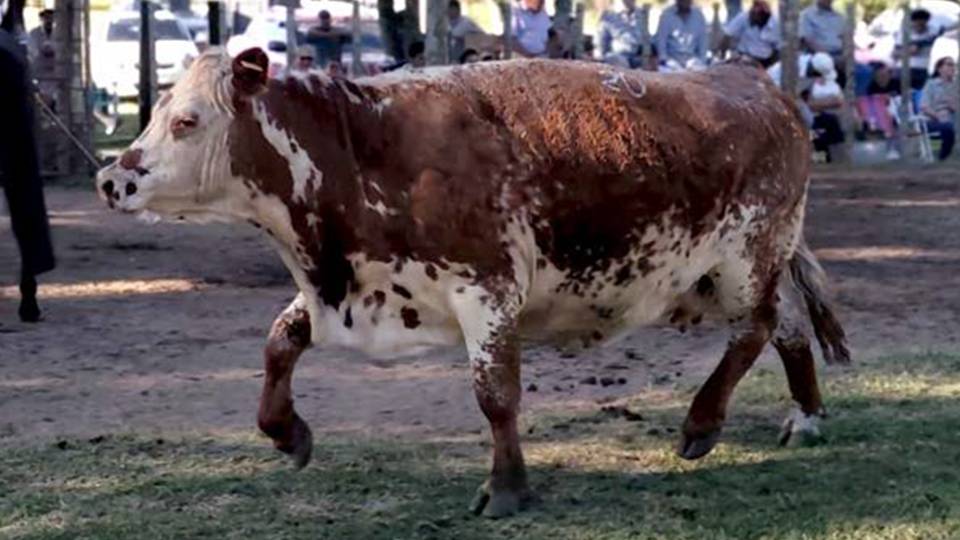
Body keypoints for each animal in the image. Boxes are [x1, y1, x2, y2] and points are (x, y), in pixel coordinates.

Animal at [95, 49, 848, 518]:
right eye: (156, 112)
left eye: (187, 121)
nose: (111, 178)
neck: (366, 149)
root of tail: (762, 87)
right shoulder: (351, 285)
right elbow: (280, 342)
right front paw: (286, 432)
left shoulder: (486, 289)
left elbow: (494, 394)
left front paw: (507, 487)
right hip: (734, 269)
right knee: (785, 325)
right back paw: (806, 415)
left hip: (749, 254)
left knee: (756, 328)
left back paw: (701, 423)